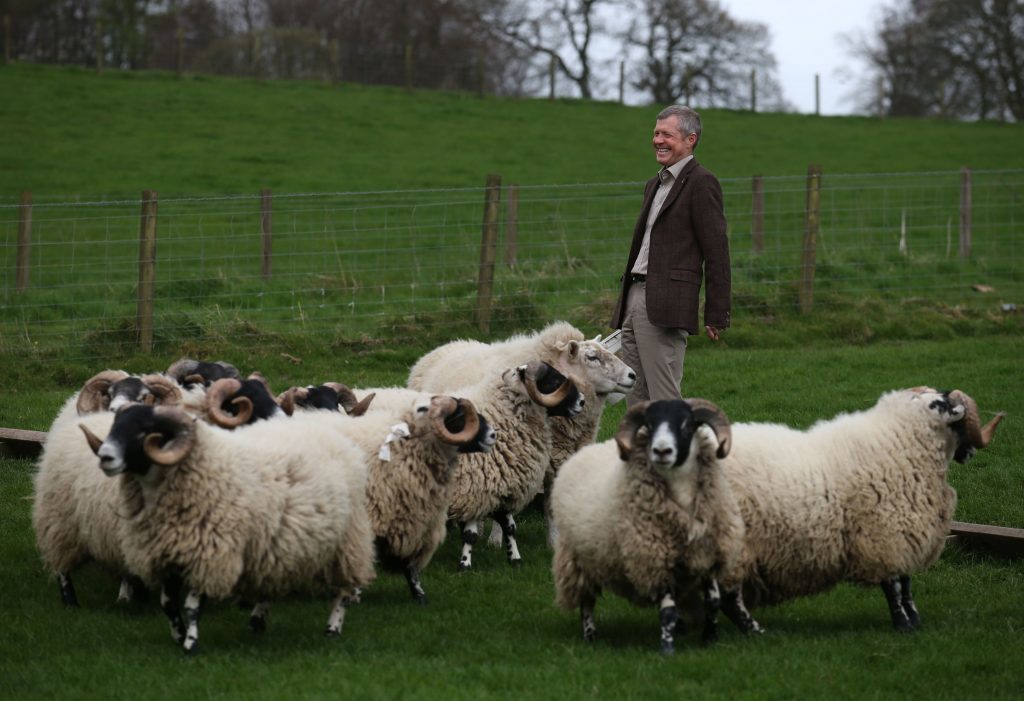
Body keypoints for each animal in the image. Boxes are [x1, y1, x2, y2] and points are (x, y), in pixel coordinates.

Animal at [79, 401, 376, 654]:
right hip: (279, 543)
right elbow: (168, 605)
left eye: (144, 431)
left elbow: (191, 607)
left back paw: (332, 627)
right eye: (115, 425)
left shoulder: (210, 554)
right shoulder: (168, 555)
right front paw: (177, 636)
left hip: (349, 539)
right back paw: (257, 621)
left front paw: (190, 644)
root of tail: (333, 435)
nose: (105, 457)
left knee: (343, 589)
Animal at [552, 399, 761, 654]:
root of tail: (582, 453)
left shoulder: (710, 557)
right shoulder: (656, 562)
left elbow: (713, 602)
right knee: (586, 601)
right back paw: (590, 636)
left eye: (687, 424)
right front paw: (668, 649)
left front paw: (710, 639)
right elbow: (668, 612)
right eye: (649, 425)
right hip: (576, 559)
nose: (661, 451)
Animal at [720, 384, 999, 630]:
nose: (971, 452)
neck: (901, 441)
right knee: (730, 598)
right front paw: (903, 624)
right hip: (734, 544)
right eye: (958, 421)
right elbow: (894, 586)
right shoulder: (885, 534)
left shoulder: (903, 534)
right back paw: (754, 630)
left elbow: (906, 583)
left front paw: (915, 621)